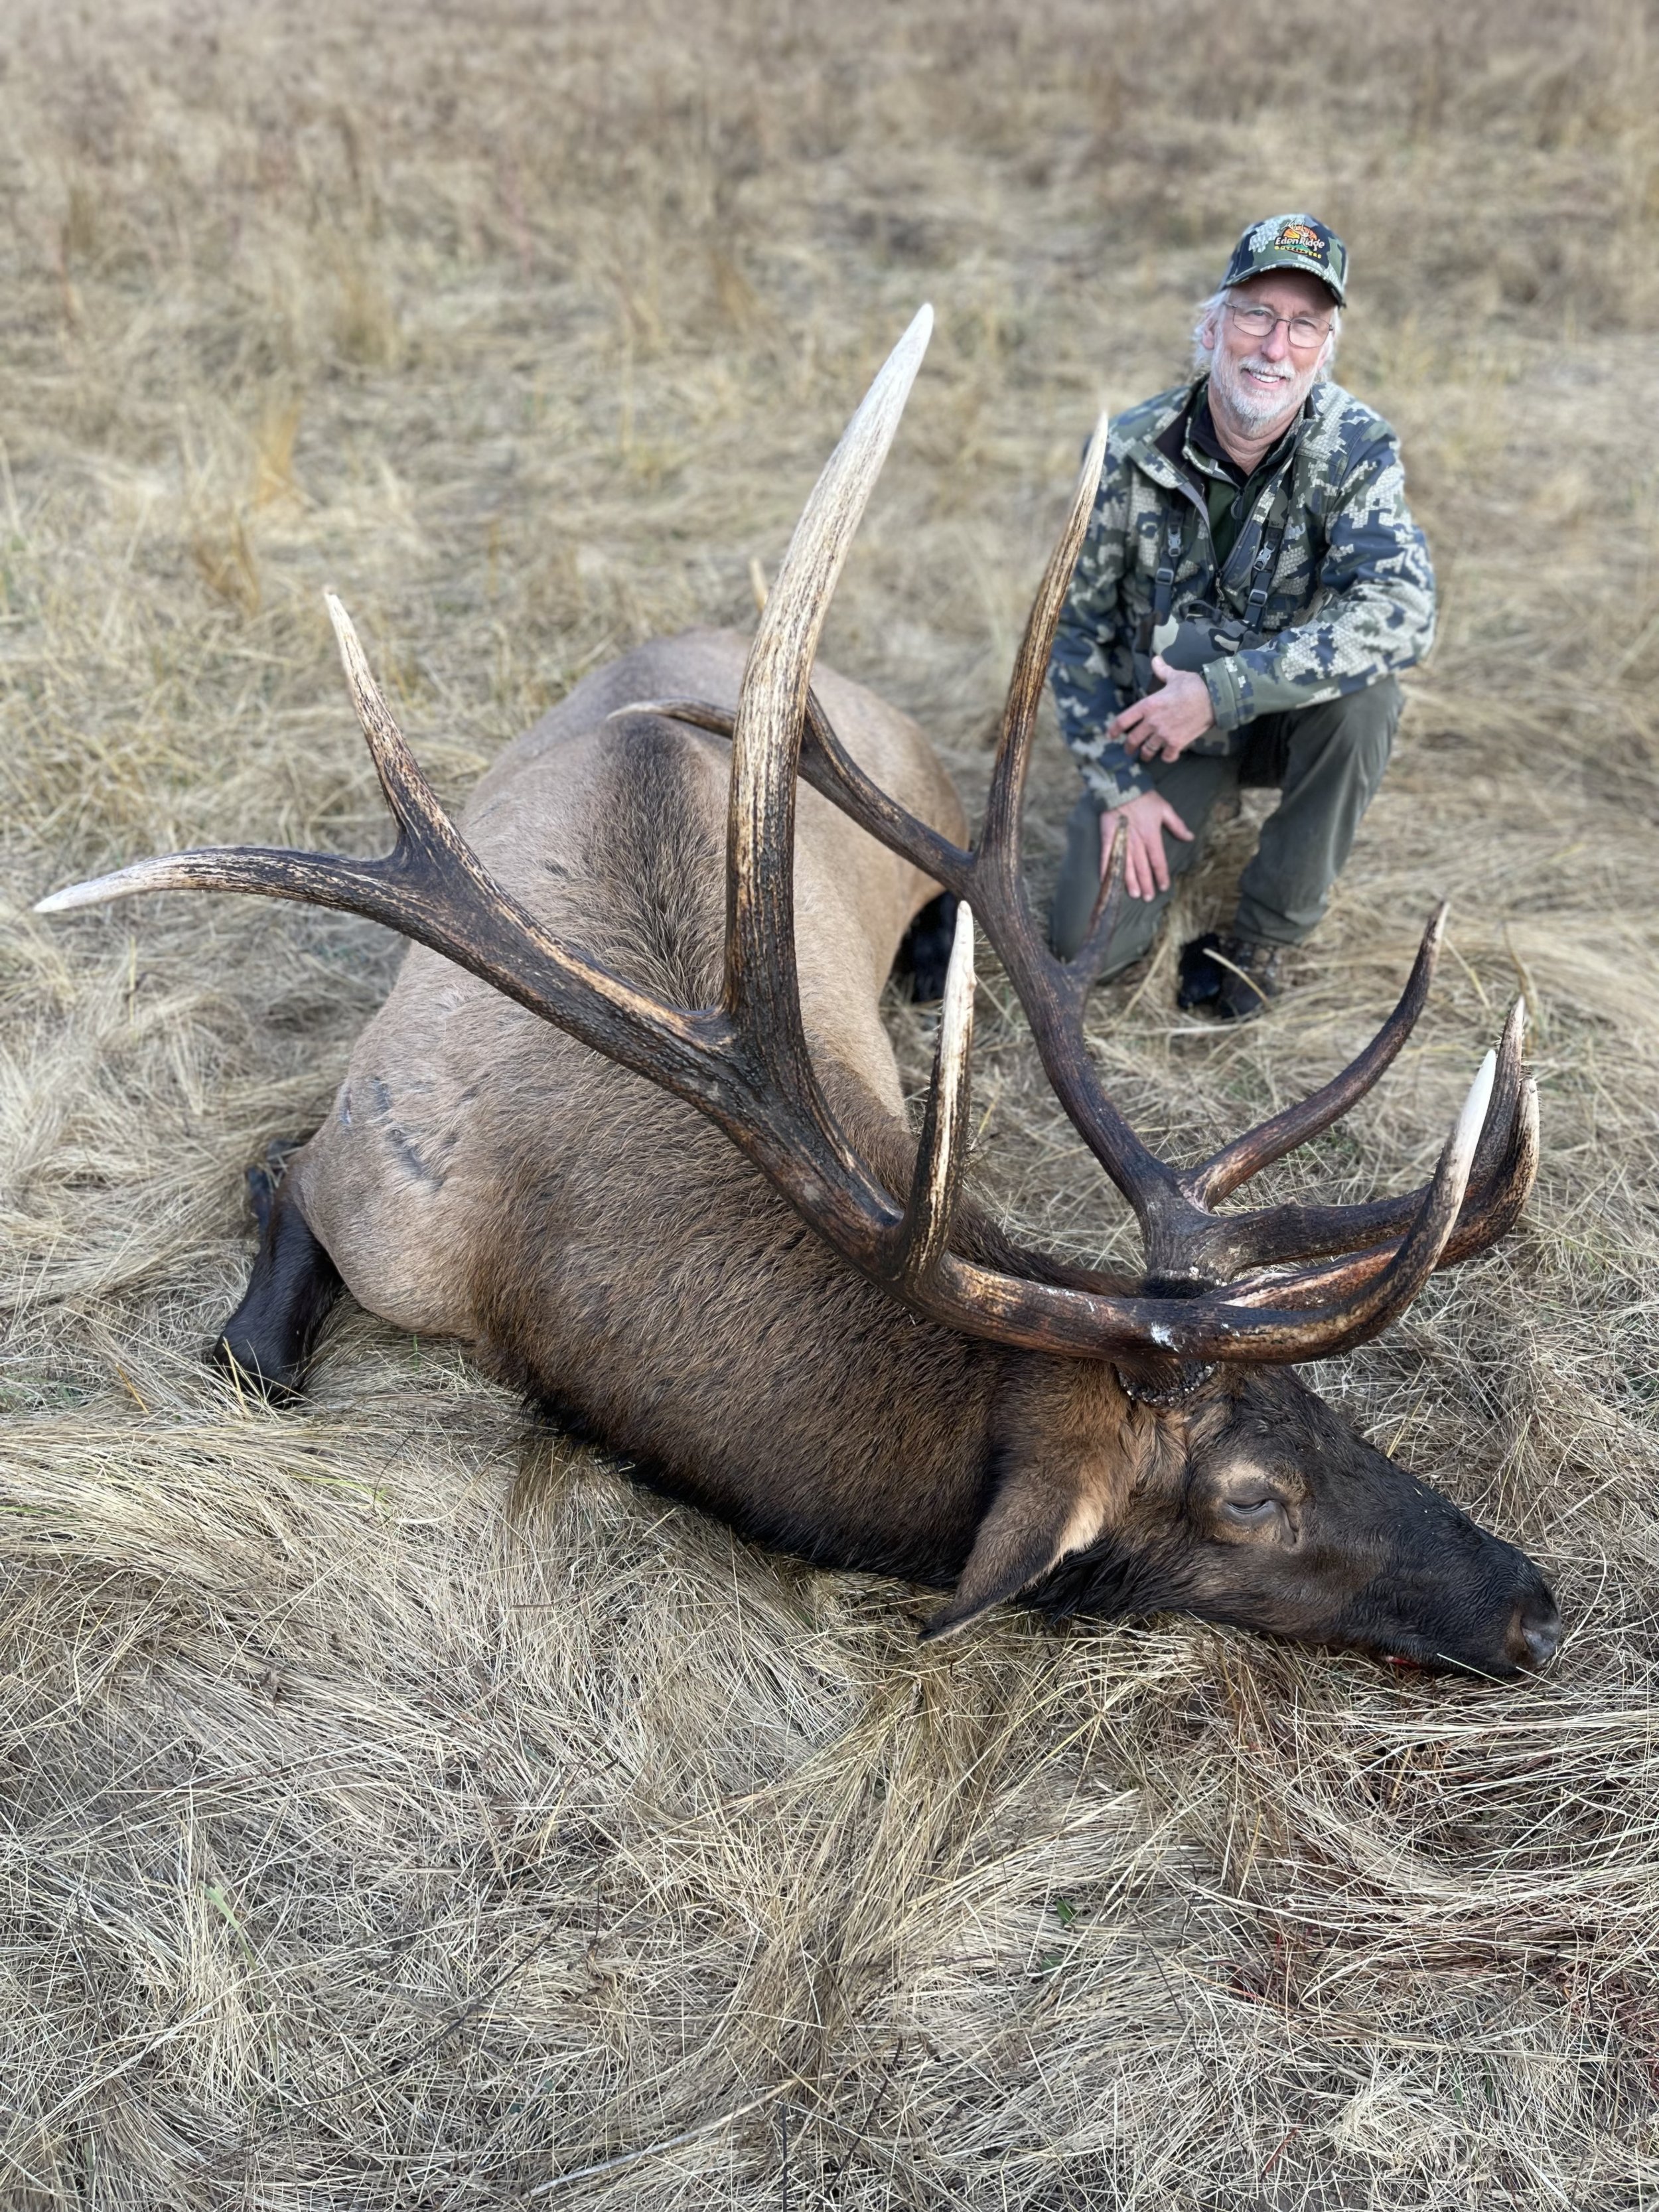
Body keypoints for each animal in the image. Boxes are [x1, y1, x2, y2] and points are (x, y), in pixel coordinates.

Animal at [38, 307, 1560, 1676]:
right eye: (1250, 1493)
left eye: (1310, 1398)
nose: (1533, 1601)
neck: (534, 1275)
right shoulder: (372, 1178)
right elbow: (255, 1335)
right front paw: (253, 1202)